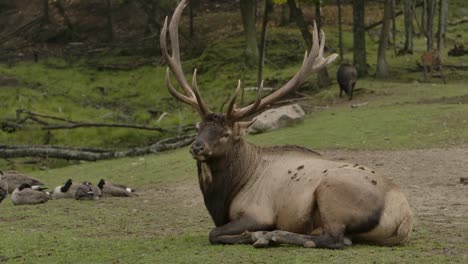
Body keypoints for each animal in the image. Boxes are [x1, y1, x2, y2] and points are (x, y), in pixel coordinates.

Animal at [161, 0, 414, 249]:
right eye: (199, 128)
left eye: (225, 133)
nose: (197, 147)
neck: (224, 197)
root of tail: (404, 218)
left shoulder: (258, 212)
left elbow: (214, 233)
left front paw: (254, 234)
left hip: (332, 194)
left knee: (333, 240)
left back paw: (269, 236)